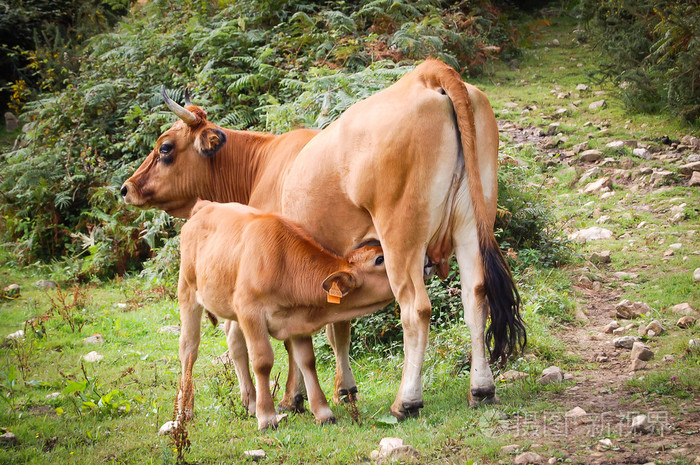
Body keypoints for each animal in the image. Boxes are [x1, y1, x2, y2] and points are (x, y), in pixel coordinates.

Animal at [176, 199, 394, 428]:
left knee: (235, 344)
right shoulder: (250, 312)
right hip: (187, 292)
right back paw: (185, 410)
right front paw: (266, 416)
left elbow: (307, 360)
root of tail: (204, 205)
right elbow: (262, 361)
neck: (284, 265)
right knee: (188, 349)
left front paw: (323, 412)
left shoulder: (298, 320)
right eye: (379, 259)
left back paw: (250, 402)